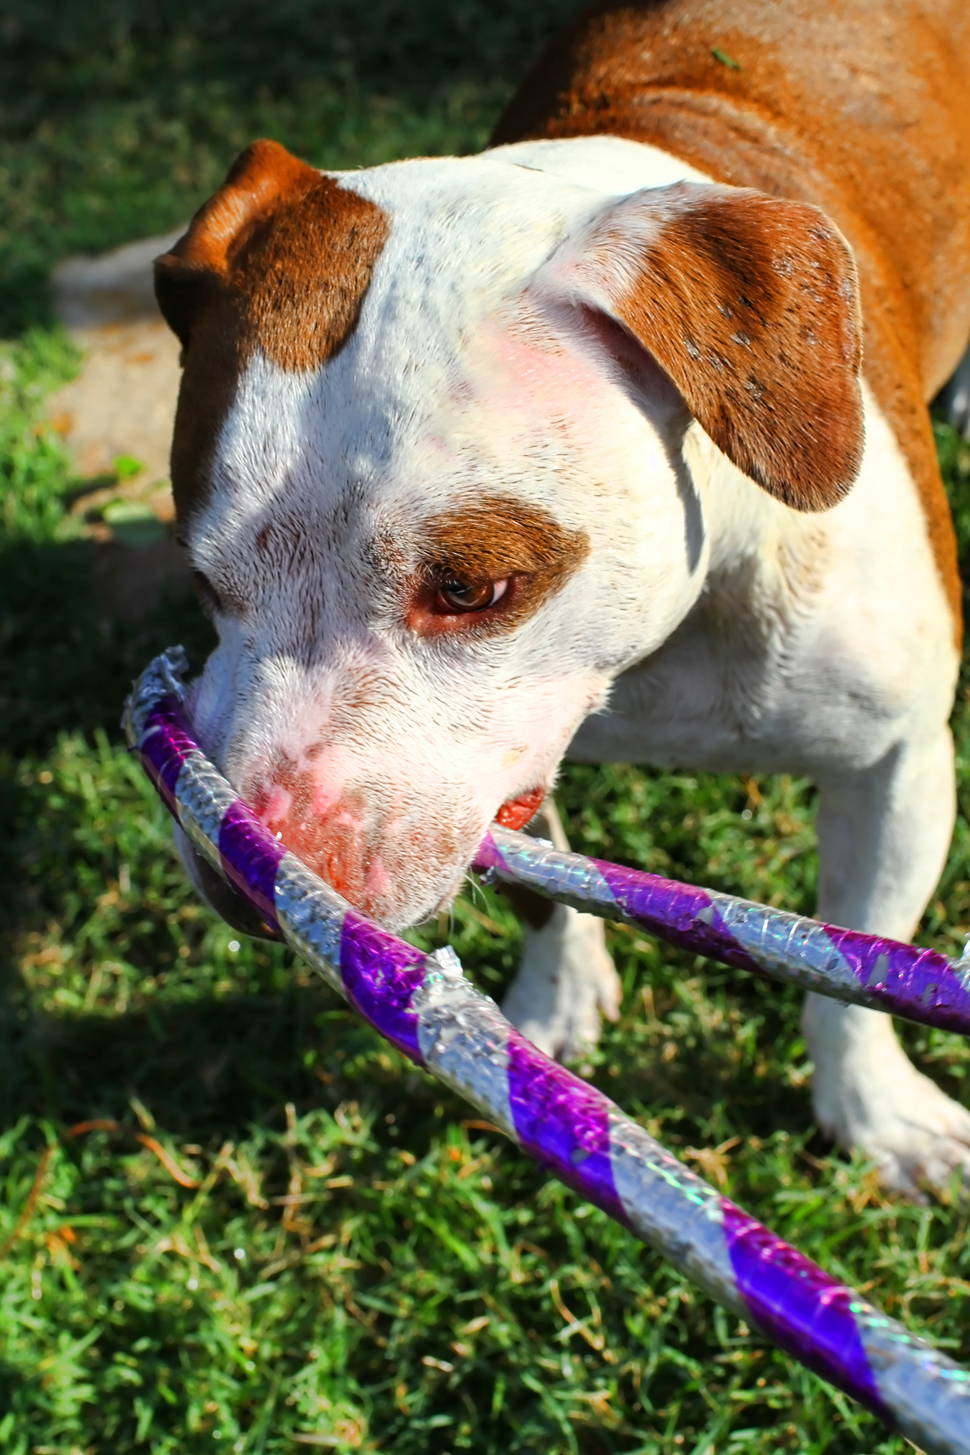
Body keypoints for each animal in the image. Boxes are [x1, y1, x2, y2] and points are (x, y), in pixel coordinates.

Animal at [154, 0, 970, 1198]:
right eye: (204, 578)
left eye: (474, 587)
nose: (242, 875)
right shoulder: (509, 754)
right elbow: (542, 881)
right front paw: (554, 1000)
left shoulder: (898, 763)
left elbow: (855, 970)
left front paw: (874, 1110)